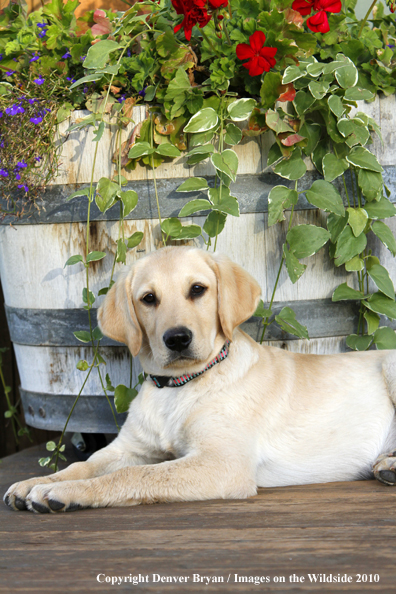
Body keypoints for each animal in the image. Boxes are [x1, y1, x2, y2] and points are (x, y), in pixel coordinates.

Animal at [3, 245, 396, 508]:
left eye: (197, 289)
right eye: (148, 298)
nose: (177, 339)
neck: (180, 386)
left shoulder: (222, 463)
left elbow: (134, 475)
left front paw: (65, 492)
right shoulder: (130, 448)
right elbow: (83, 464)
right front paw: (37, 481)